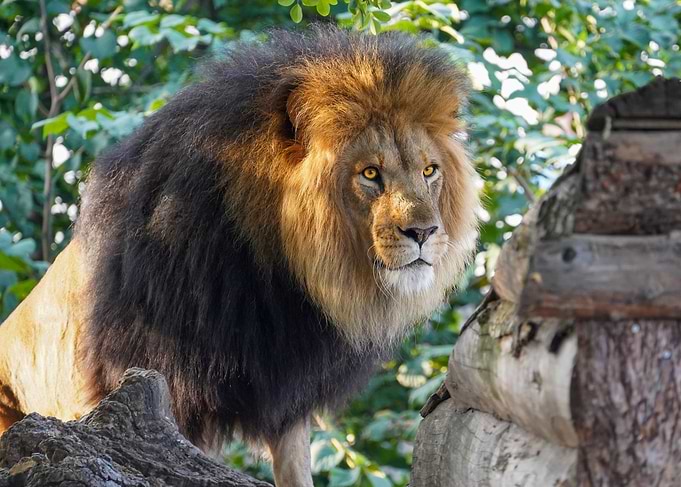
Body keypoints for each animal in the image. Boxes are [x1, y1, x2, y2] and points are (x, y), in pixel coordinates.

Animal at [0, 26, 478, 486]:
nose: (425, 232)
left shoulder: (284, 386)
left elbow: (295, 465)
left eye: (429, 170)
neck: (271, 274)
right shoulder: (151, 380)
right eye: (370, 173)